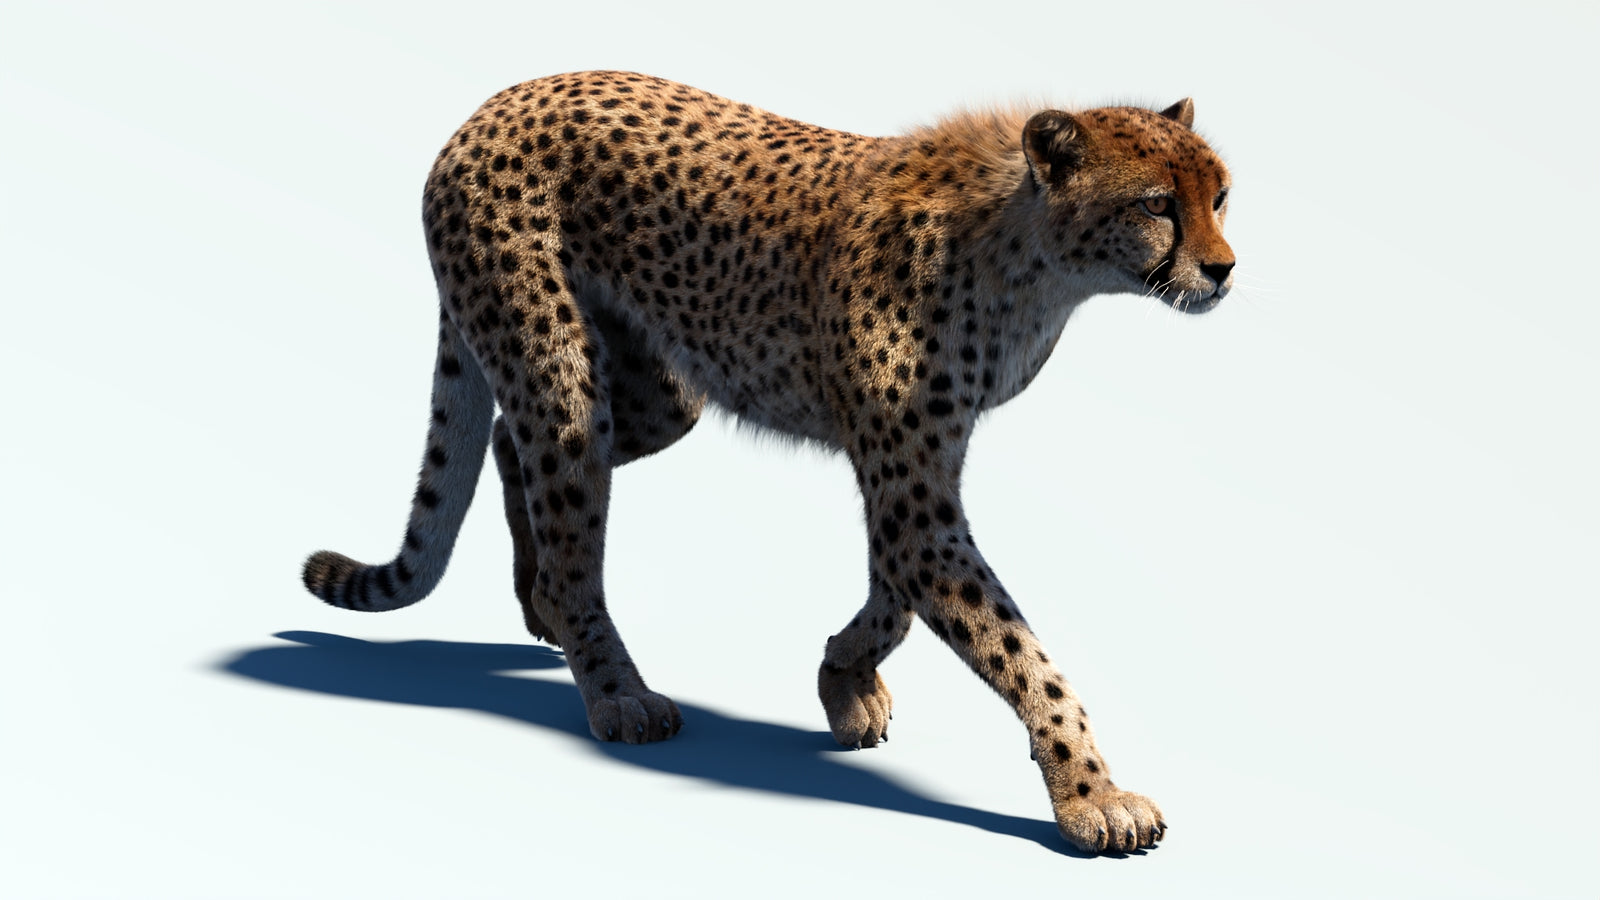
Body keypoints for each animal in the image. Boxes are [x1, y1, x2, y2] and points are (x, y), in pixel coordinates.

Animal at [301, 70, 1234, 854]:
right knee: (566, 527)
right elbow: (1017, 649)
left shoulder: (918, 469)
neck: (1033, 259)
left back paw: (536, 601)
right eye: (1158, 204)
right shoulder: (910, 487)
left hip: (659, 393)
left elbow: (894, 599)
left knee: (508, 444)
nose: (1223, 269)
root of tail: (495, 101)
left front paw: (843, 678)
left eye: (1221, 196)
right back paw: (614, 688)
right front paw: (1093, 795)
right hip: (560, 370)